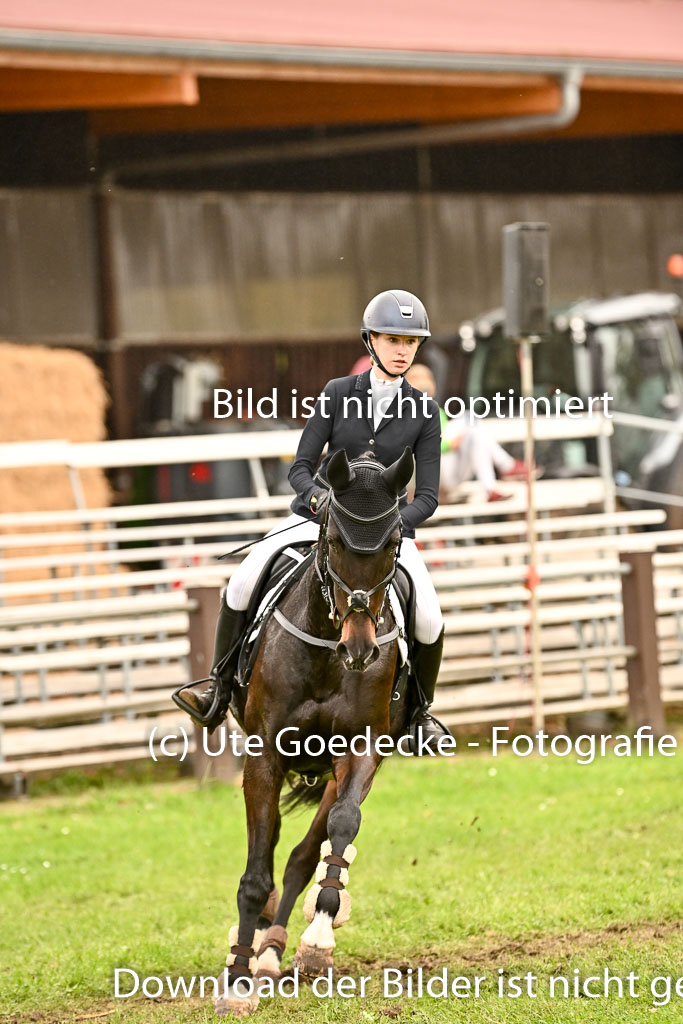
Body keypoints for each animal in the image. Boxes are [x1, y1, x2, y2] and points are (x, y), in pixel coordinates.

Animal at [215, 446, 416, 1017]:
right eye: (334, 542)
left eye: (393, 543)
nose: (360, 649)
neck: (328, 651)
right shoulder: (263, 755)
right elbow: (254, 873)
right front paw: (236, 981)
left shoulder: (362, 749)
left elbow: (341, 827)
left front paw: (319, 937)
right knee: (274, 847)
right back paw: (258, 945)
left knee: (306, 852)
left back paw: (278, 946)